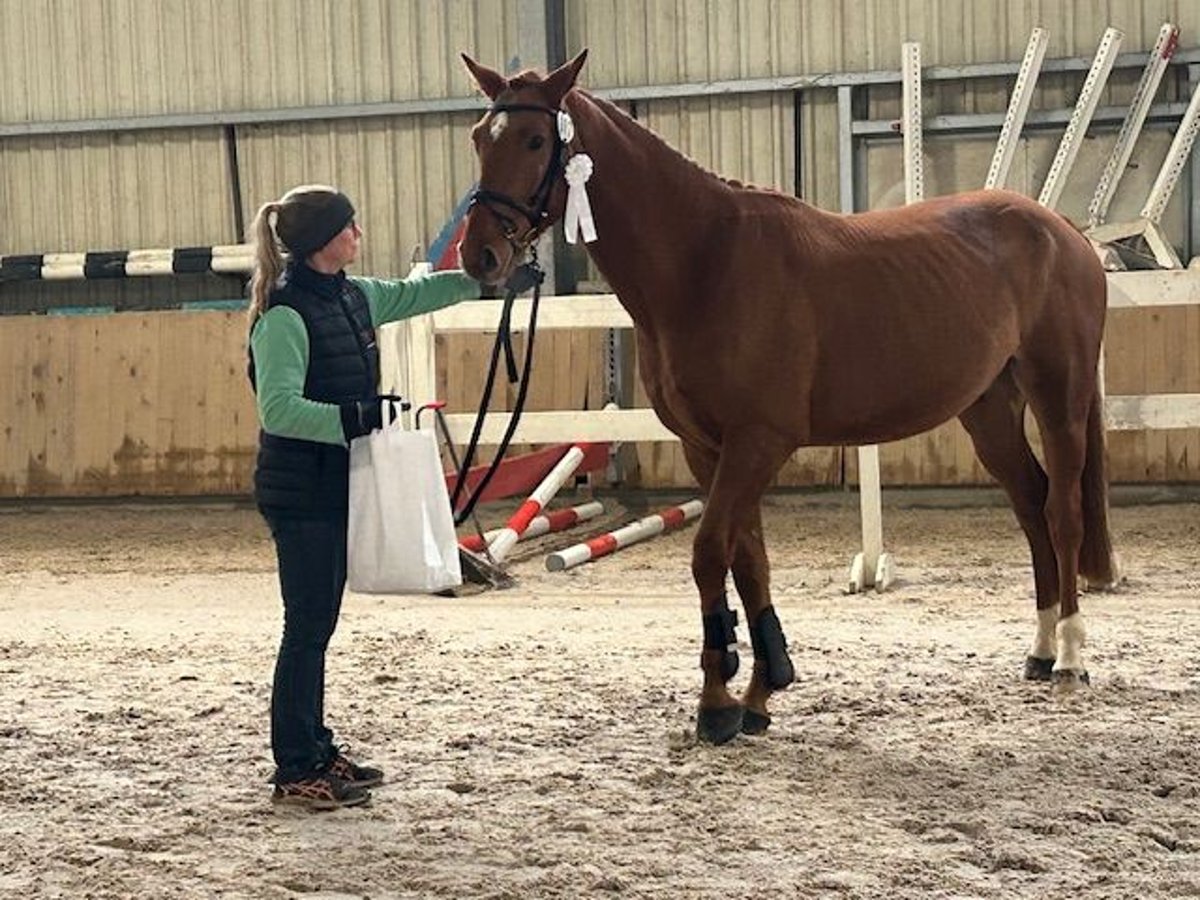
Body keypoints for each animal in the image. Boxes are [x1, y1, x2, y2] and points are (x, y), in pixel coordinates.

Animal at [458, 50, 1118, 745]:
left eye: (535, 140)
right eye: (479, 138)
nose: (479, 253)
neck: (704, 263)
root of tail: (1064, 232)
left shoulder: (757, 443)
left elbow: (709, 553)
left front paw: (717, 703)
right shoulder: (709, 448)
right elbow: (749, 561)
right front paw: (761, 690)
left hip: (1060, 397)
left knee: (1062, 512)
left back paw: (1070, 657)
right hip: (989, 411)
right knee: (1031, 506)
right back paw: (1040, 650)